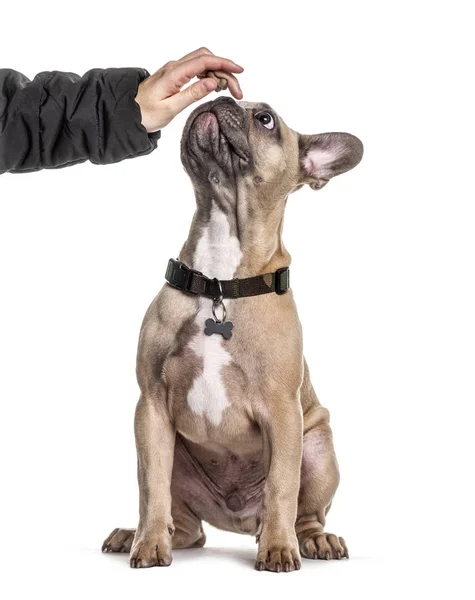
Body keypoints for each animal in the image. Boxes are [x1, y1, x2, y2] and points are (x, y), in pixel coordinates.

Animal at [103, 97, 364, 572]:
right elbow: (151, 487)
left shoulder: (283, 412)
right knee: (184, 524)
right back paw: (140, 536)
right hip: (176, 458)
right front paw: (148, 544)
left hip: (319, 449)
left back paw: (309, 540)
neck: (221, 276)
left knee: (305, 513)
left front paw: (278, 549)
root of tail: (239, 520)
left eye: (266, 120)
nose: (220, 97)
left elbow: (281, 486)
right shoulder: (150, 407)